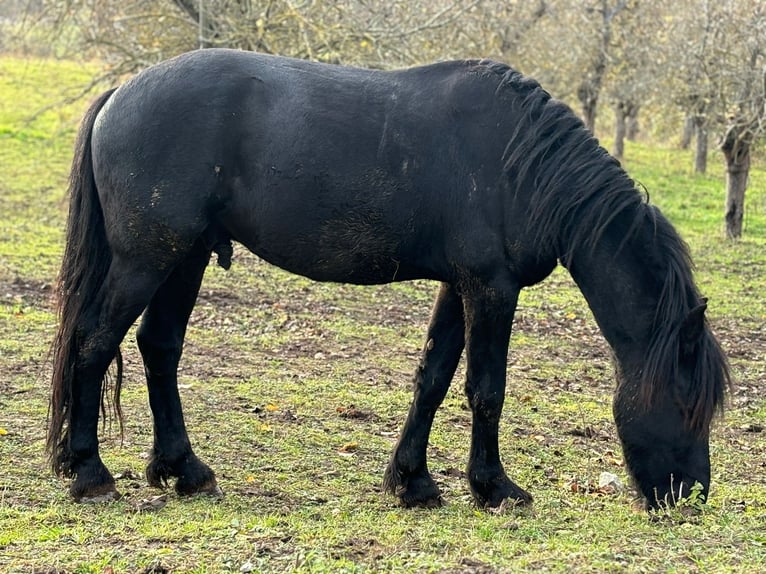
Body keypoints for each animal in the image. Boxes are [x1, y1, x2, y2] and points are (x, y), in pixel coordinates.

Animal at [48, 49, 732, 512]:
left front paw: (413, 481)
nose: (692, 496)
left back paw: (183, 470)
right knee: (93, 343)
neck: (522, 167)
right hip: (145, 261)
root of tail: (120, 93)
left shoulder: (461, 287)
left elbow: (432, 379)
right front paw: (494, 488)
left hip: (182, 258)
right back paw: (88, 472)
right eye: (687, 402)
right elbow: (486, 389)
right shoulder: (492, 288)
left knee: (158, 348)